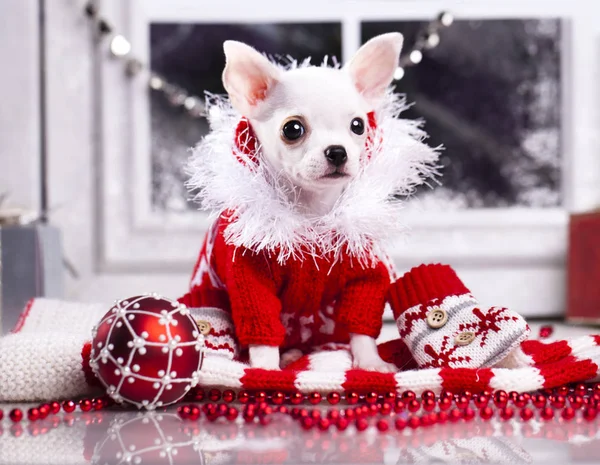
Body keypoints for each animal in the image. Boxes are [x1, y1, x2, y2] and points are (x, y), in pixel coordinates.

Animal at [219, 34, 404, 372]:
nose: (337, 151)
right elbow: (262, 329)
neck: (311, 211)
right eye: (292, 129)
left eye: (358, 125)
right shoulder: (250, 279)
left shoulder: (365, 273)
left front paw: (371, 363)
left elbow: (362, 327)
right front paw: (265, 369)